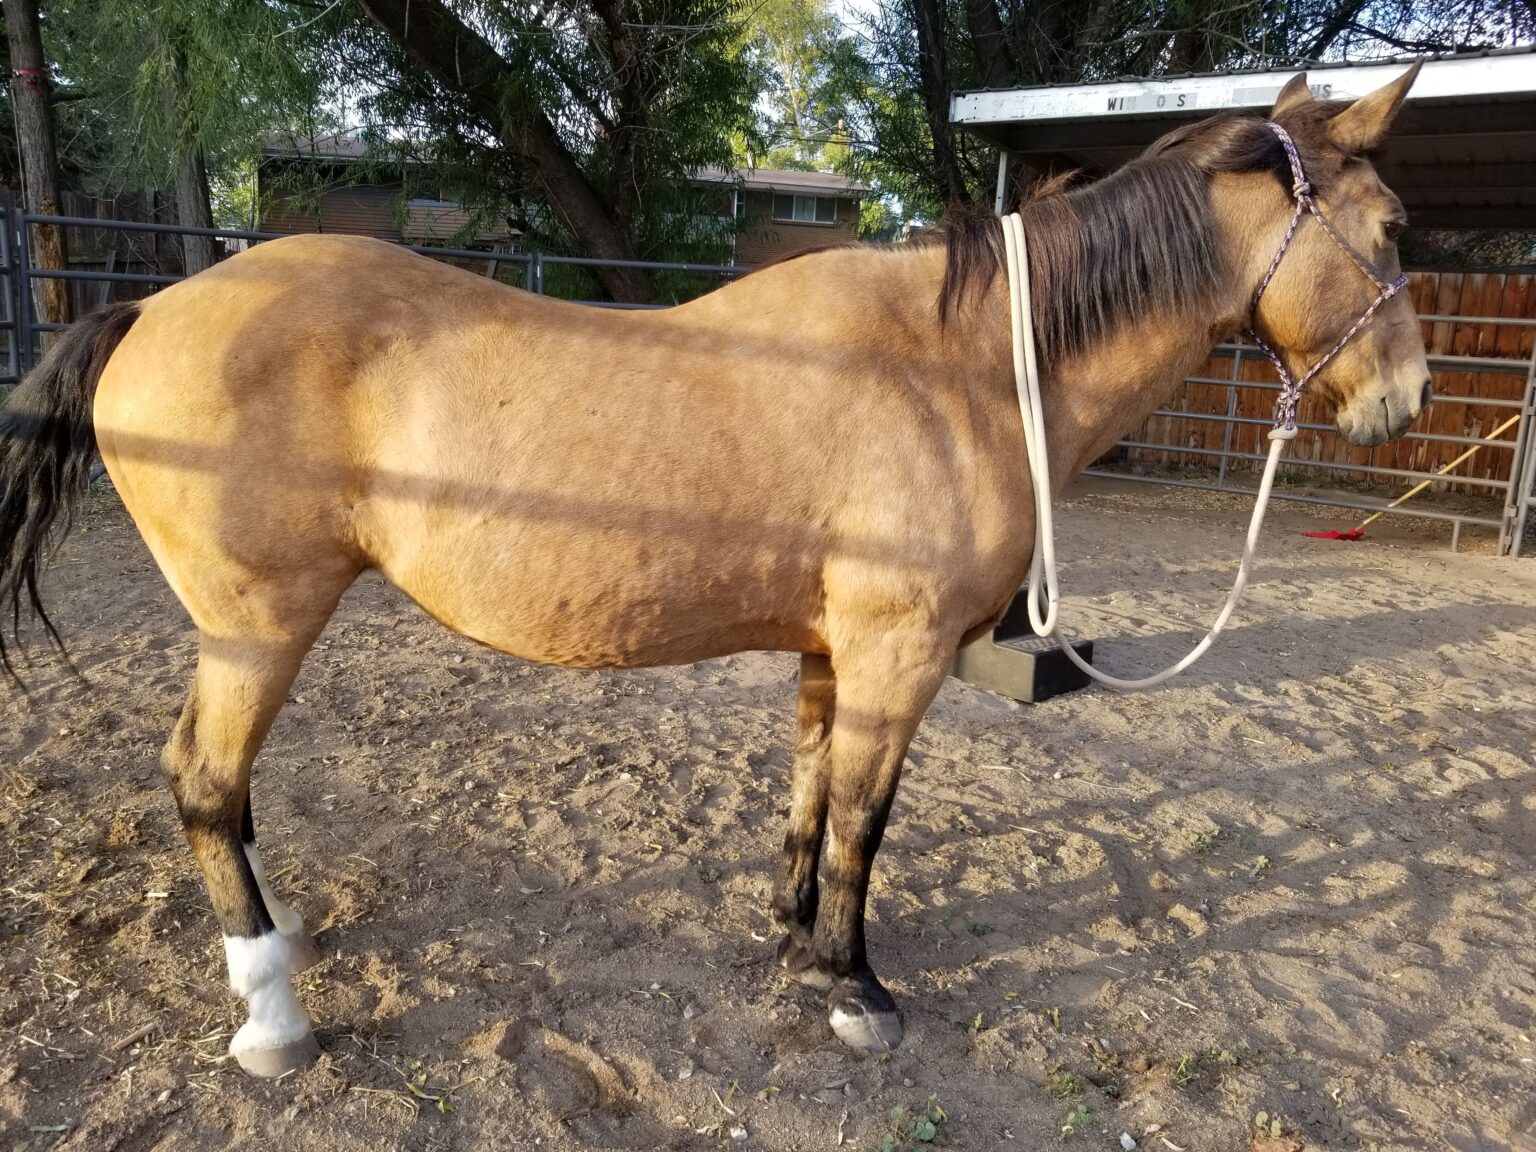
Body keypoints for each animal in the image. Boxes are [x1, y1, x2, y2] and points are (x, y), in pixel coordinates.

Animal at [0, 68, 1430, 1077]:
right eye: (1394, 225)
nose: (1405, 401)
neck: (956, 365)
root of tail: (153, 306)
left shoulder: (833, 652)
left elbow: (811, 798)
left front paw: (795, 937)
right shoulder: (897, 658)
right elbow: (865, 819)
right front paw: (856, 989)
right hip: (257, 626)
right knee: (204, 783)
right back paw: (272, 1014)